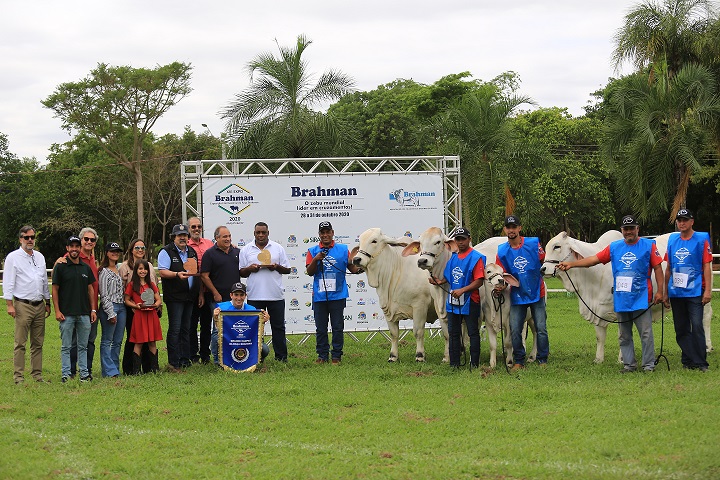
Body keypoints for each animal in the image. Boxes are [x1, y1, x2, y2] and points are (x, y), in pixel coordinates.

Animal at [350, 228, 448, 360]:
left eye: (374, 241)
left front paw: (420, 355)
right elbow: (394, 334)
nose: (356, 259)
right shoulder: (387, 310)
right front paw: (393, 356)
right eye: (359, 241)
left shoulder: (420, 306)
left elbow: (418, 332)